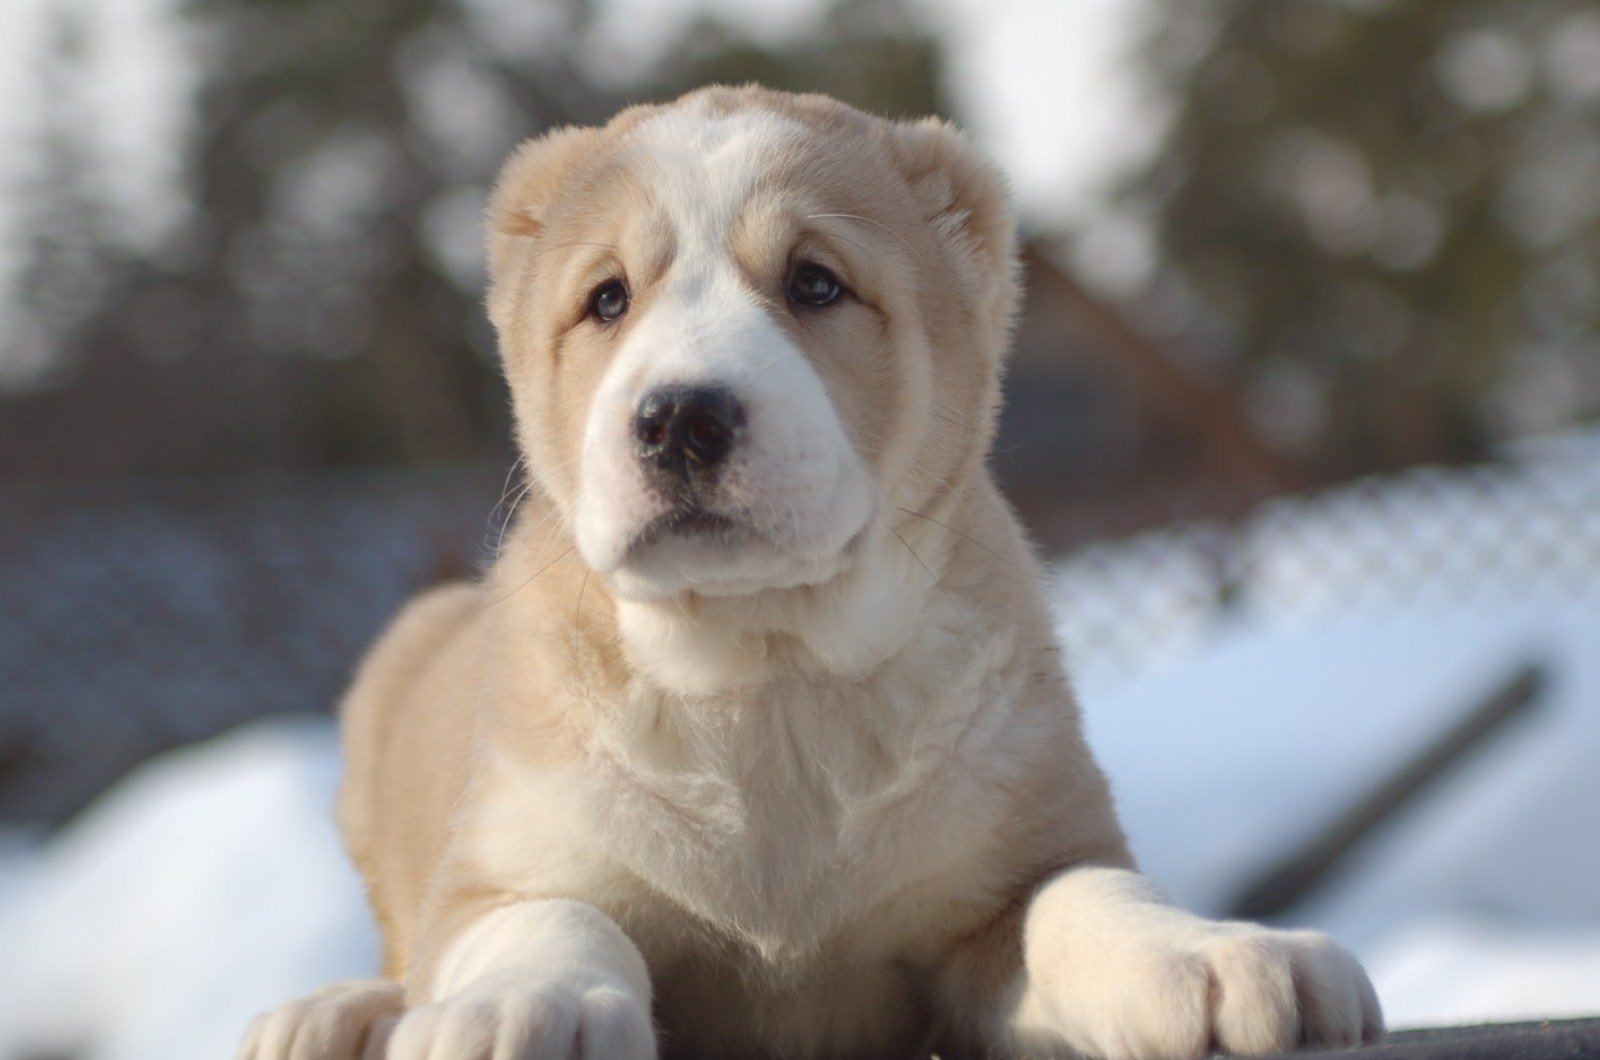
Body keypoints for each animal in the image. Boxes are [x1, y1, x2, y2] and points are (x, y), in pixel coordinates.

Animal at [243, 87, 1382, 1060]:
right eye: (607, 299)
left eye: (815, 283)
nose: (679, 417)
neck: (769, 673)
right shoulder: (497, 871)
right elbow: (552, 919)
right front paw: (516, 1009)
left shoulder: (1021, 870)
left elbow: (1086, 898)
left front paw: (1218, 950)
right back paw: (332, 1013)